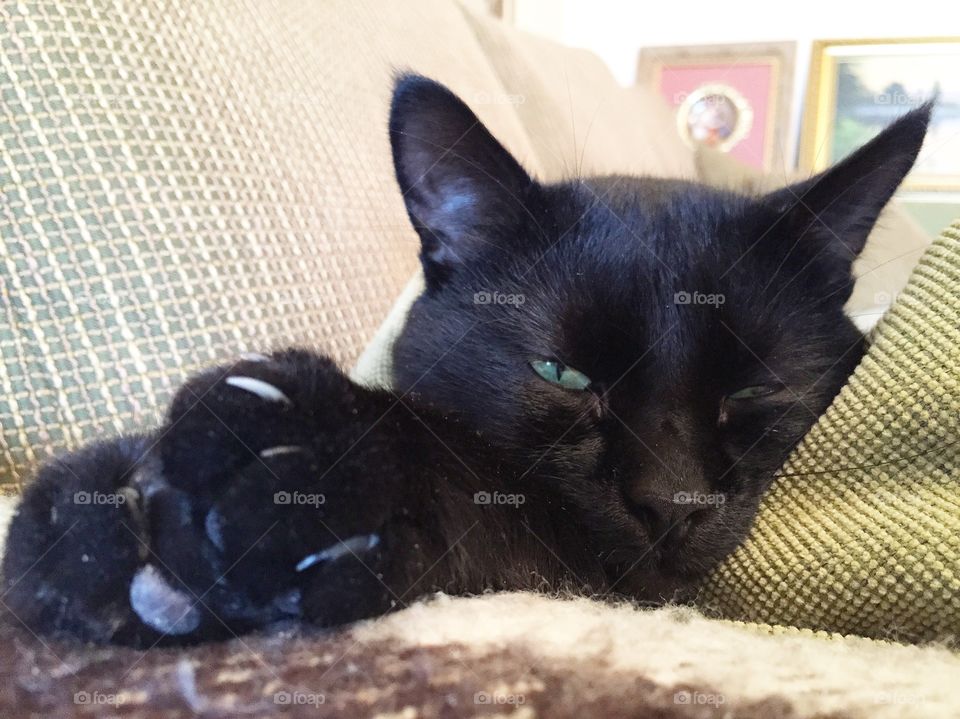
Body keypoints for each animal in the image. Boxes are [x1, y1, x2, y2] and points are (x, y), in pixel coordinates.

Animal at [0, 77, 928, 648]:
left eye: (759, 388)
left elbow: (477, 491)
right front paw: (104, 511)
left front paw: (283, 477)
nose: (672, 502)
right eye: (563, 376)